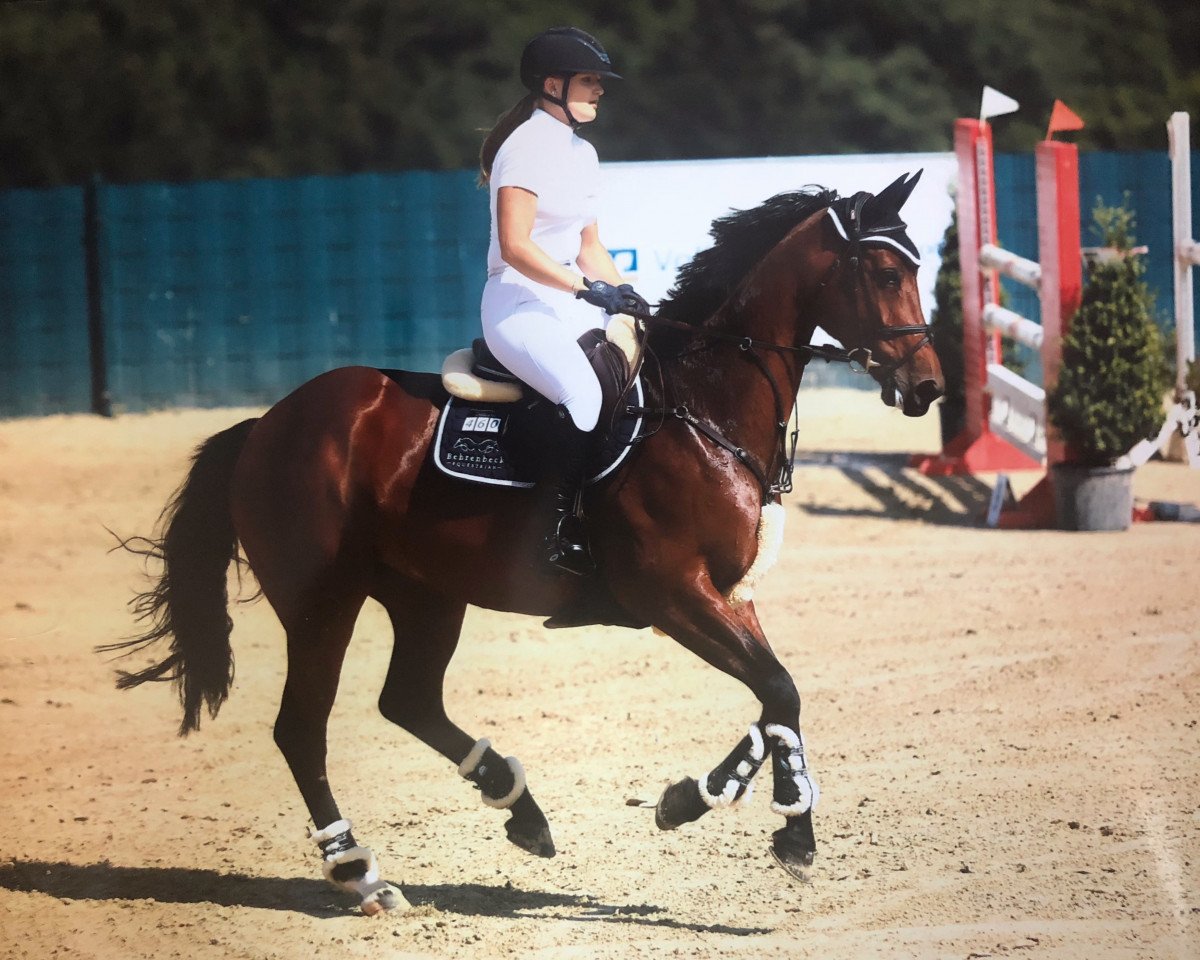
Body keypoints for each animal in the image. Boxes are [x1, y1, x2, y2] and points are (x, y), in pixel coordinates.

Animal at [102, 171, 943, 915]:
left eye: (916, 266)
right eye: (884, 270)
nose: (928, 387)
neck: (704, 406)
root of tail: (265, 425)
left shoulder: (727, 595)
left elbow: (776, 697)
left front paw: (706, 803)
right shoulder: (671, 594)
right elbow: (778, 690)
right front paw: (784, 831)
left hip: (425, 595)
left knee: (407, 700)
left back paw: (522, 810)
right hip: (323, 604)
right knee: (301, 730)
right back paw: (362, 877)